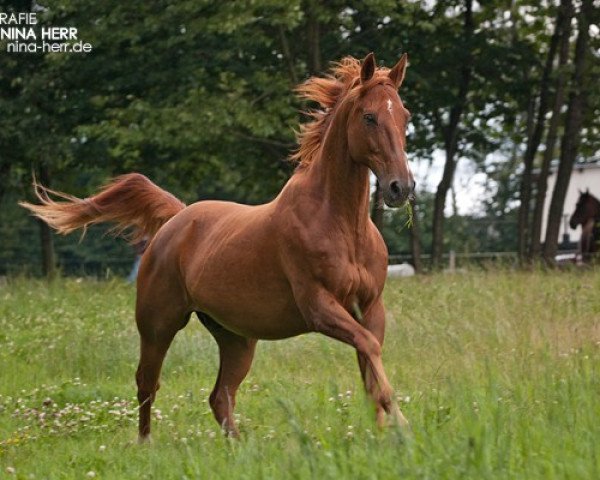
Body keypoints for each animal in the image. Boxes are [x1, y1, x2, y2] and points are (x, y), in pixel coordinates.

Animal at [24, 51, 418, 438]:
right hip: (158, 324)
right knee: (147, 384)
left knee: (220, 396)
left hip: (235, 337)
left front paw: (384, 432)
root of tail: (176, 218)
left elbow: (369, 367)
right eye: (369, 116)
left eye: (405, 116)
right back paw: (146, 443)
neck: (342, 226)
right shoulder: (319, 306)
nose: (401, 187)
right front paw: (400, 422)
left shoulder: (370, 308)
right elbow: (369, 349)